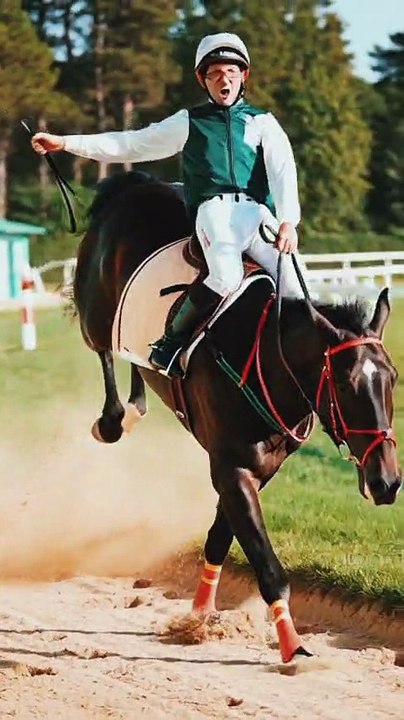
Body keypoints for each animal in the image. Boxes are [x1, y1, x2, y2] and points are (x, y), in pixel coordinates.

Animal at [73, 171, 401, 664]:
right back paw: (115, 418)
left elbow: (219, 537)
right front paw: (292, 647)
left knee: (130, 356)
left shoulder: (259, 468)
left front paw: (198, 615)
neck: (263, 356)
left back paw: (137, 400)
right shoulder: (232, 467)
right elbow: (267, 565)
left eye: (393, 378)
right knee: (102, 347)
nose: (387, 481)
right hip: (94, 309)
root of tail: (133, 183)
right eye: (344, 385)